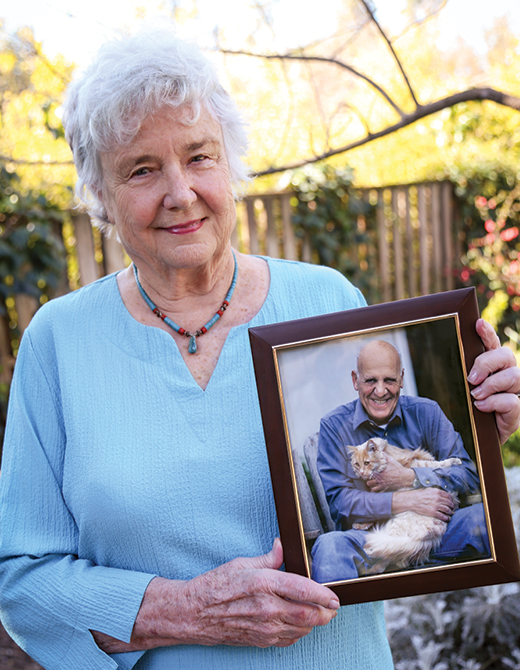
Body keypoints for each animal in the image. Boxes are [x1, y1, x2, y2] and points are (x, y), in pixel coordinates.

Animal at [348, 438, 462, 576]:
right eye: (357, 464)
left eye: (366, 463)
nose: (361, 473)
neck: (386, 453)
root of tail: (433, 534)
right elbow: (375, 509)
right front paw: (361, 525)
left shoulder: (414, 463)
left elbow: (437, 465)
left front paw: (455, 461)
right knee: (391, 556)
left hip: (395, 531)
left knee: (388, 554)